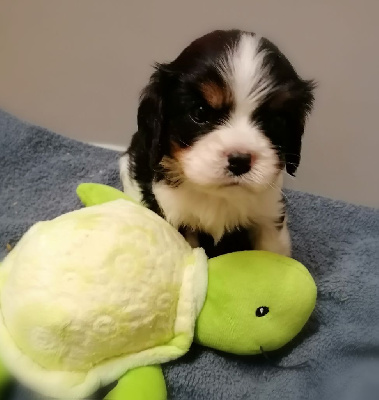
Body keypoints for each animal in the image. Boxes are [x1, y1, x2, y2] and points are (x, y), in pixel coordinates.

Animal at [120, 29, 316, 258]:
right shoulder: (175, 214)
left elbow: (272, 250)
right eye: (200, 113)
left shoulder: (269, 214)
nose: (240, 161)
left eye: (274, 122)